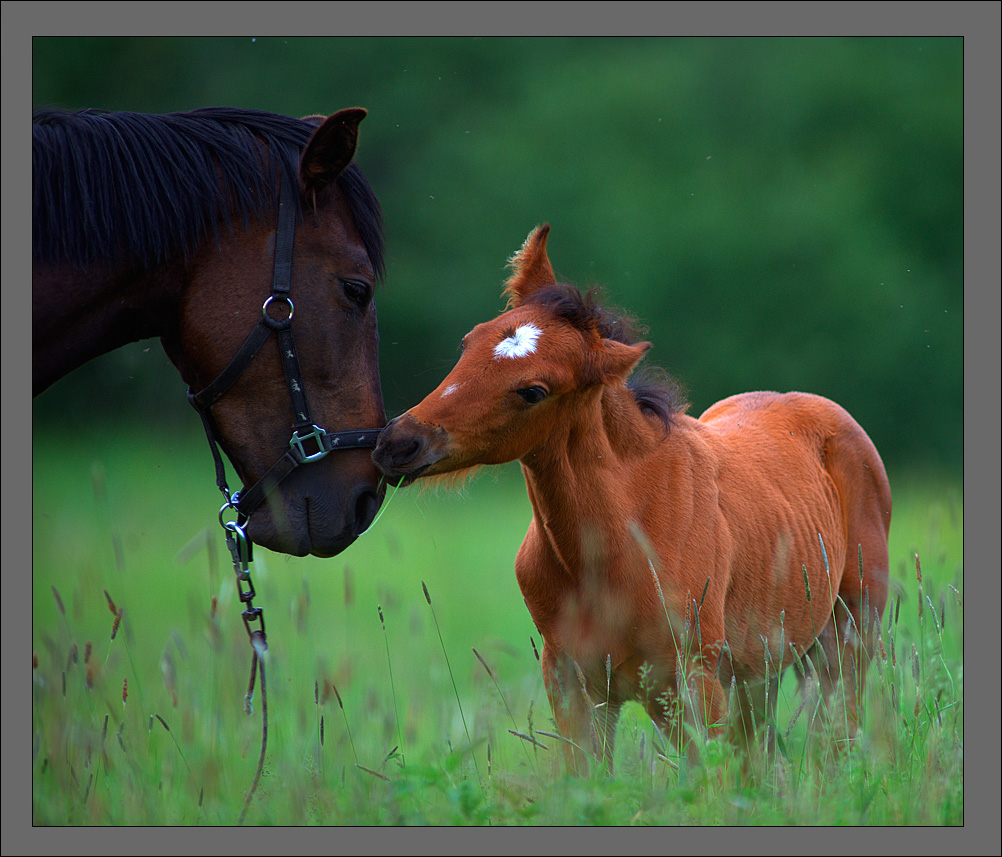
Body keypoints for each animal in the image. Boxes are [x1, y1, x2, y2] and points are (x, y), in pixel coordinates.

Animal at [376, 224, 893, 773]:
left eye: (534, 391)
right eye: (468, 341)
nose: (398, 443)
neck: (612, 544)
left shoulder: (692, 684)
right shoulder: (574, 684)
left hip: (845, 640)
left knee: (833, 742)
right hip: (760, 671)